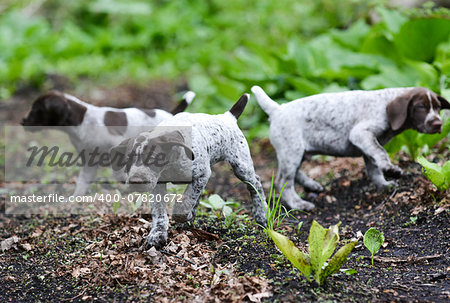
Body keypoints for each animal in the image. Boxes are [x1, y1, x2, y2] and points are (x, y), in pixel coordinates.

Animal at [21, 89, 195, 197]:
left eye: (36, 111)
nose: (22, 121)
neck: (83, 122)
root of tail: (171, 114)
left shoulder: (117, 145)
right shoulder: (88, 162)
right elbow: (82, 182)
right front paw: (76, 198)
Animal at [253, 85, 450, 211]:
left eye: (438, 108)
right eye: (420, 107)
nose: (438, 124)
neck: (385, 103)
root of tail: (277, 109)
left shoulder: (367, 144)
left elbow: (374, 168)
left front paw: (384, 185)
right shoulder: (360, 134)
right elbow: (380, 153)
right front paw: (390, 169)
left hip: (296, 151)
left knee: (292, 174)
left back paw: (312, 185)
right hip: (291, 150)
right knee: (283, 182)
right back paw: (299, 204)